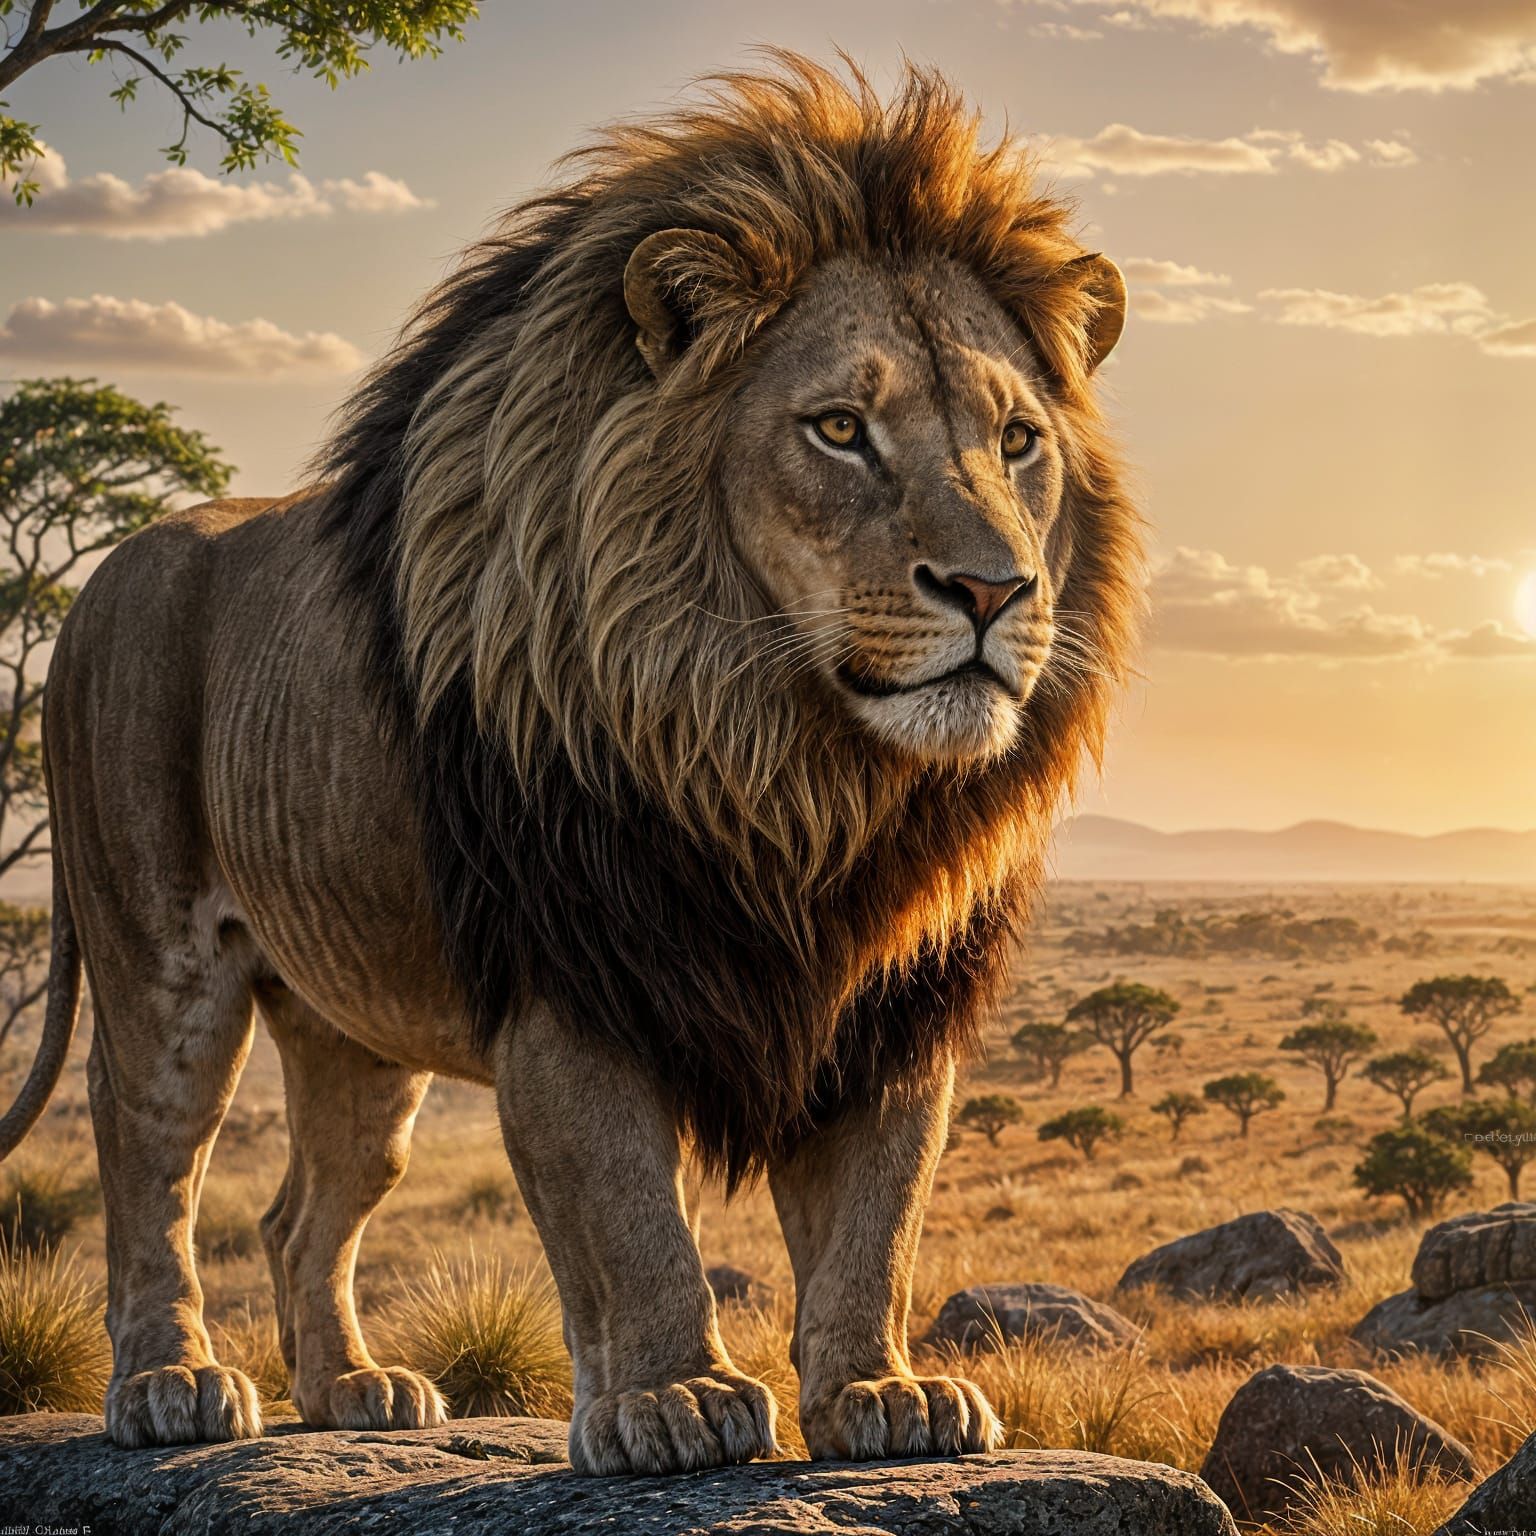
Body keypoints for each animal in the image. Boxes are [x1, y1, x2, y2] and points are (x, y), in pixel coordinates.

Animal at [0, 55, 1141, 1473]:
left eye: (1019, 439)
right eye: (838, 428)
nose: (993, 590)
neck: (790, 768)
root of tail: (106, 573)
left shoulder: (886, 996)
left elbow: (877, 1214)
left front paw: (881, 1392)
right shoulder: (570, 975)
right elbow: (628, 1214)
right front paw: (675, 1398)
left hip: (352, 1026)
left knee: (302, 1210)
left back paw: (353, 1386)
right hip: (161, 962)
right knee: (148, 1164)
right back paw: (174, 1382)